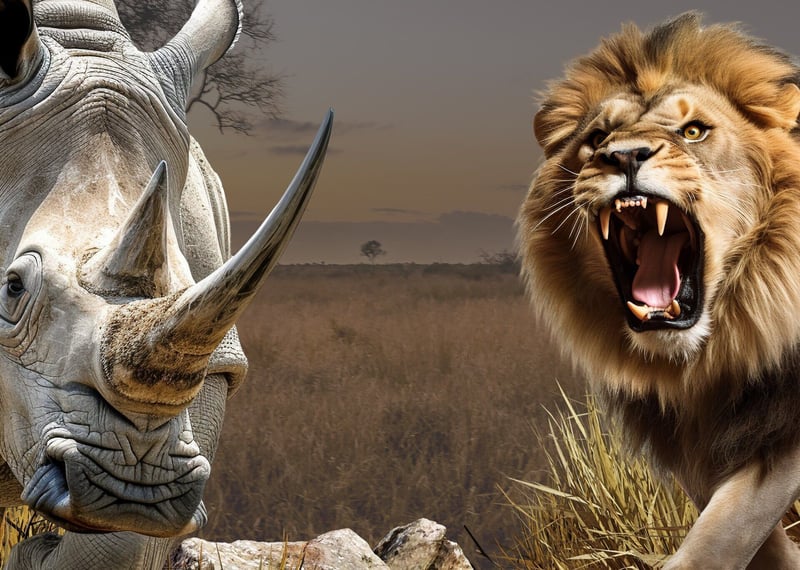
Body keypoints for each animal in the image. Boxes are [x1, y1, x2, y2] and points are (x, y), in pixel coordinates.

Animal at [0, 0, 332, 567]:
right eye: (12, 289)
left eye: (194, 282)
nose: (133, 484)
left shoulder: (213, 361)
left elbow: (118, 543)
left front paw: (34, 553)